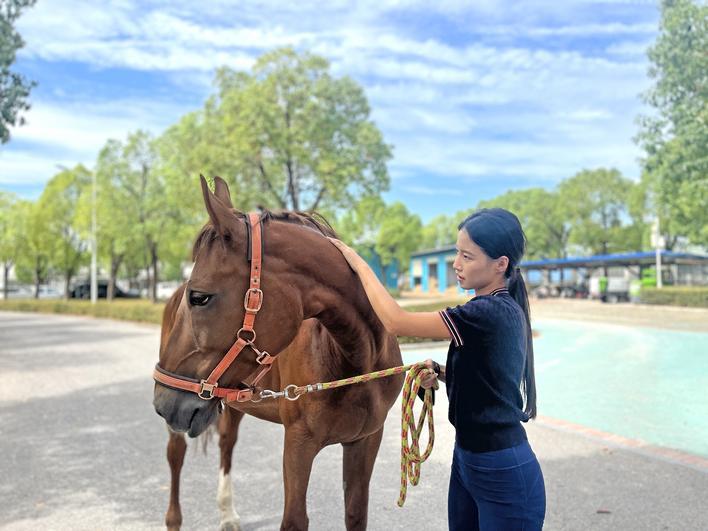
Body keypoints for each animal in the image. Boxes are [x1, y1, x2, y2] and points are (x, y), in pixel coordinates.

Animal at [153, 176, 404, 530]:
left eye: (200, 297)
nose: (163, 402)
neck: (355, 362)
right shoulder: (298, 443)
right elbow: (295, 519)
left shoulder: (366, 441)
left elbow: (356, 514)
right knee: (175, 457)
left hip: (231, 402)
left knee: (226, 444)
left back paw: (227, 514)